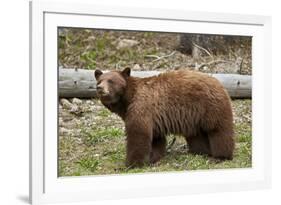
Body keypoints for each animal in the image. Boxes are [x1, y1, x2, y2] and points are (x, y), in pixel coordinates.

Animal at [94, 68, 234, 167]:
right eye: (99, 80)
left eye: (111, 81)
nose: (99, 88)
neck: (127, 100)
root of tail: (219, 83)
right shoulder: (154, 118)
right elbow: (156, 139)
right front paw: (153, 158)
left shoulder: (141, 107)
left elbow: (138, 134)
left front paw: (131, 164)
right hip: (194, 117)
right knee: (197, 135)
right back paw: (200, 152)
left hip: (209, 107)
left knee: (218, 131)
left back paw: (221, 156)